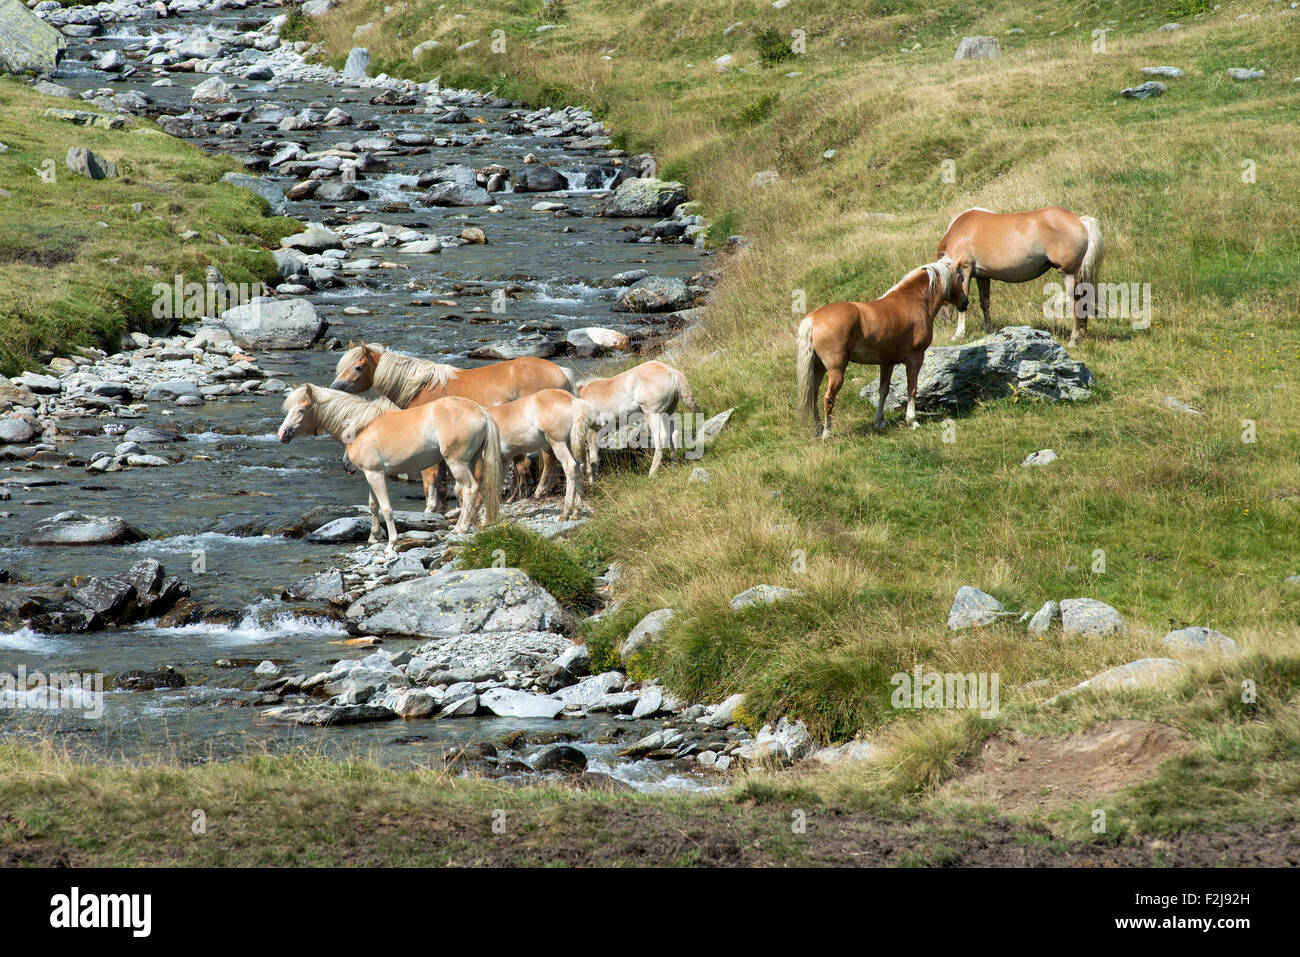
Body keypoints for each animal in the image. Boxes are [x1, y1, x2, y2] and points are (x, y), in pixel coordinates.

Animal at [276, 384, 503, 552]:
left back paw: (460, 529)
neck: (362, 427)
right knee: (477, 491)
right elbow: (373, 506)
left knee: (470, 490)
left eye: (301, 410)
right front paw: (373, 538)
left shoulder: (376, 475)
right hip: (472, 461)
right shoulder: (370, 476)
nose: (282, 434)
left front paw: (391, 544)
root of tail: (482, 413)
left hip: (457, 463)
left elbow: (386, 508)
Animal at [329, 343, 576, 511]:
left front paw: (431, 507)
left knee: (548, 460)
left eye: (359, 367)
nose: (335, 386)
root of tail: (561, 371)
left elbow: (431, 477)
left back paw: (539, 491)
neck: (421, 386)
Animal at [796, 257, 967, 438]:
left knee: (813, 396)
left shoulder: (887, 362)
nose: (965, 302)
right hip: (836, 370)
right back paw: (826, 433)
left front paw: (880, 421)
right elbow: (912, 388)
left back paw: (818, 430)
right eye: (960, 278)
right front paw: (912, 421)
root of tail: (814, 318)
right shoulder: (915, 357)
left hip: (818, 367)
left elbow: (883, 390)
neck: (914, 301)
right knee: (828, 398)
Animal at [937, 206, 1104, 346]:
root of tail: (1079, 220)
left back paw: (1073, 340)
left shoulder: (964, 271)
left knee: (1077, 304)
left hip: (1069, 274)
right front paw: (989, 329)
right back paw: (1082, 337)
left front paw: (958, 334)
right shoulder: (982, 276)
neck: (961, 230)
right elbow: (985, 303)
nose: (943, 321)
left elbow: (963, 304)